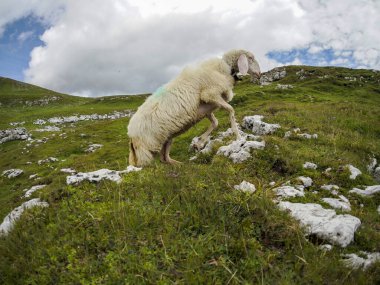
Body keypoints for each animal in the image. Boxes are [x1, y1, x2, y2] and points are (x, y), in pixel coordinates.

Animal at [127, 48, 262, 164]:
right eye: (250, 58)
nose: (259, 74)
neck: (224, 69)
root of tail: (130, 132)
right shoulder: (210, 94)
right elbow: (231, 110)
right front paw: (238, 137)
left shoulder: (207, 107)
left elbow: (215, 122)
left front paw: (199, 142)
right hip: (146, 148)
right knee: (145, 165)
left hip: (167, 138)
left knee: (164, 158)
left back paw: (179, 164)